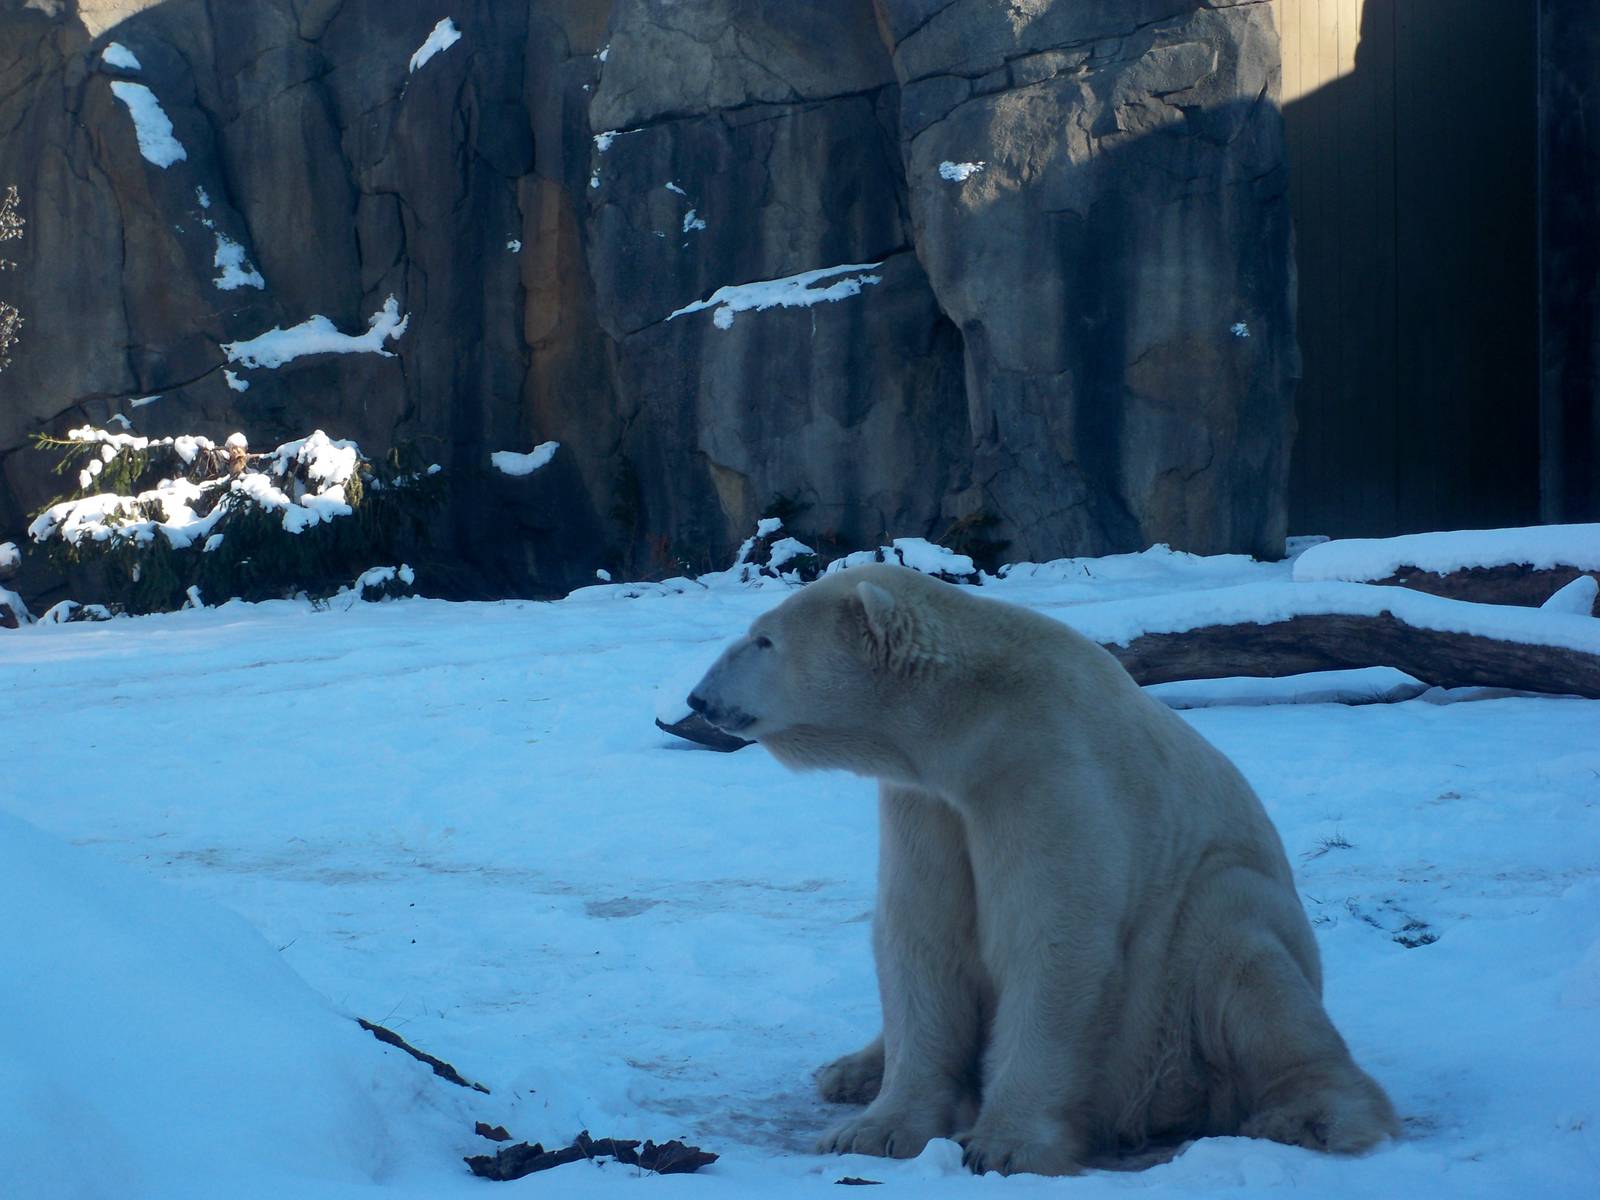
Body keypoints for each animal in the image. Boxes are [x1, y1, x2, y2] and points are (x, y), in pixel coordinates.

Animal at [687, 563, 1398, 1176]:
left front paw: (1003, 1145)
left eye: (764, 639)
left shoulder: (1046, 773)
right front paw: (871, 1131)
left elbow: (1054, 941)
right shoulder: (928, 803)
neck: (974, 719)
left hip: (1196, 955)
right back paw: (849, 1071)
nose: (699, 697)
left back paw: (1310, 1116)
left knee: (1244, 958)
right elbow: (920, 938)